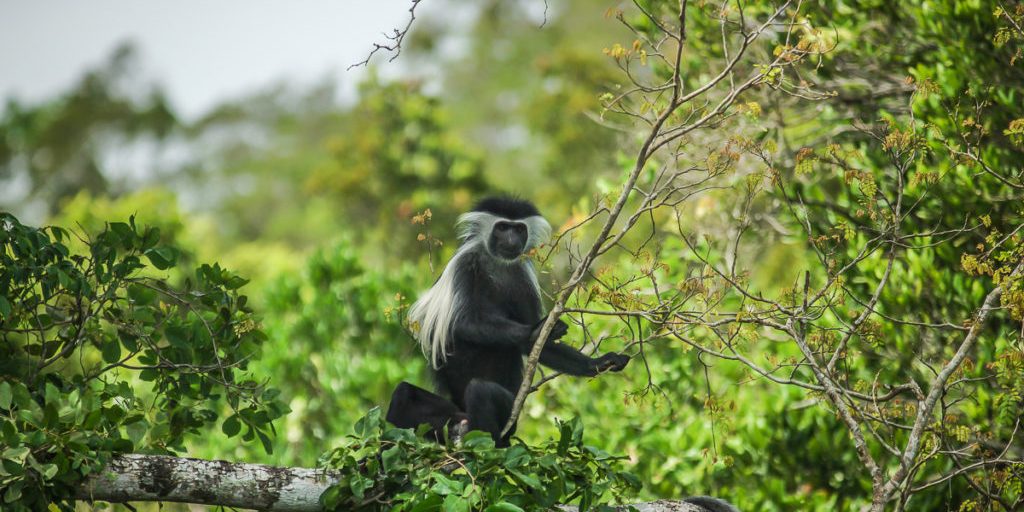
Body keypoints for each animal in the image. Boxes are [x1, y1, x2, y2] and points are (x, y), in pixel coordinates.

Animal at [387, 197, 630, 446]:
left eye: (519, 229)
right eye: (503, 227)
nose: (512, 240)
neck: (498, 265)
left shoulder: (523, 279)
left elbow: (538, 349)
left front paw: (598, 363)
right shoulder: (464, 266)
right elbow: (462, 323)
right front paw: (537, 329)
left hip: (508, 409)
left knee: (480, 391)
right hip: (449, 412)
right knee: (403, 396)